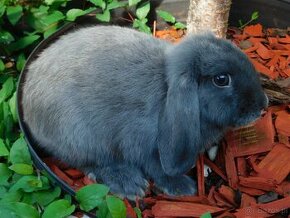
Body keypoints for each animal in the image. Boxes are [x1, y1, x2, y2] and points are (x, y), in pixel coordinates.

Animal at [21, 25, 268, 198]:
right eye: (221, 79)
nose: (263, 105)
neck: (167, 89)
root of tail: (26, 104)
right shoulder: (144, 147)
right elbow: (158, 169)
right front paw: (183, 188)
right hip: (80, 136)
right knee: (91, 163)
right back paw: (129, 184)